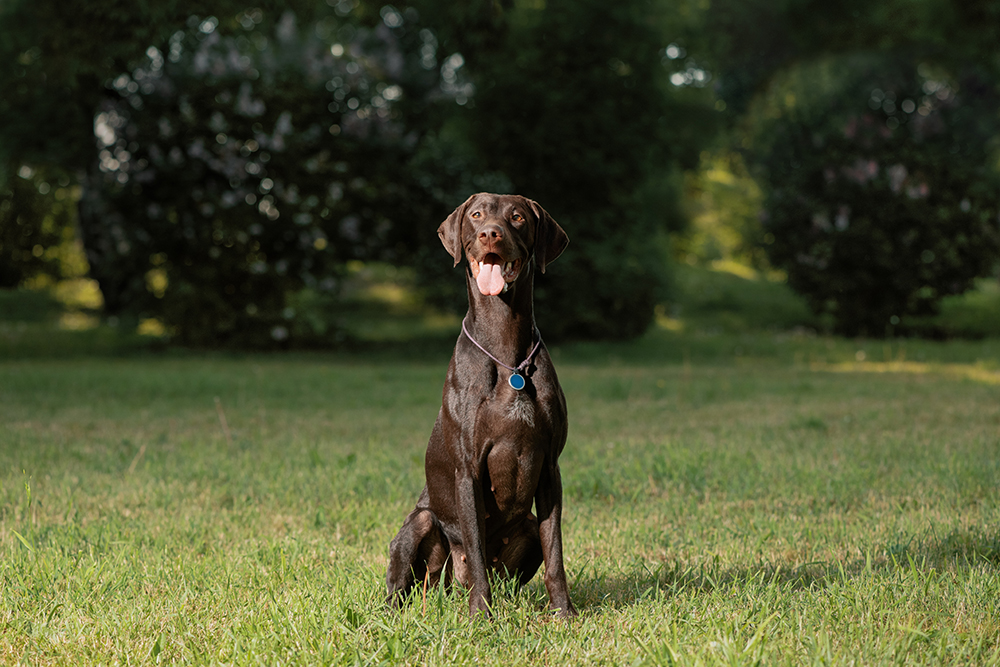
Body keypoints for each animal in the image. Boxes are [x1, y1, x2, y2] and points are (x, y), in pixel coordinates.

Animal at [390, 190, 580, 620]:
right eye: (476, 215)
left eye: (518, 217)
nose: (491, 233)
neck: (506, 351)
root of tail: (448, 588)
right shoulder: (468, 470)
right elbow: (475, 548)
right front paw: (481, 615)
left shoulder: (550, 468)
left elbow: (556, 551)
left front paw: (563, 611)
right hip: (420, 524)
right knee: (404, 585)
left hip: (526, 528)